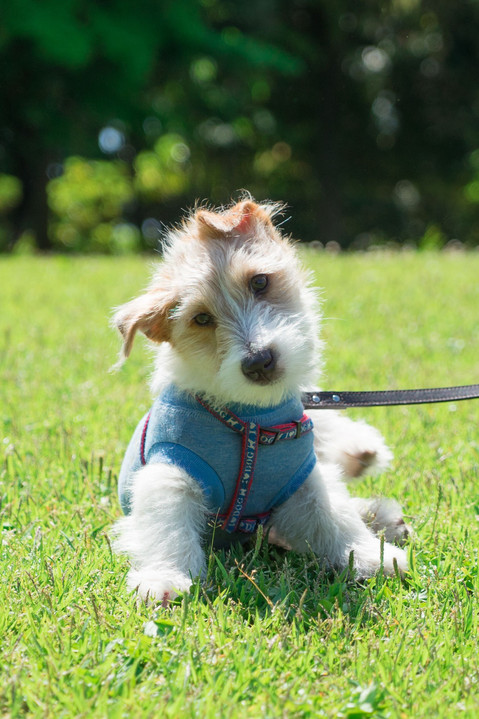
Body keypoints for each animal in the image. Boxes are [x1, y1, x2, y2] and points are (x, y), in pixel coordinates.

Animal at [112, 197, 408, 600]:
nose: (259, 361)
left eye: (260, 282)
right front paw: (166, 578)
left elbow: (332, 514)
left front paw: (368, 556)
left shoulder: (303, 477)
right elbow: (167, 526)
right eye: (201, 319)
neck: (252, 419)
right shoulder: (170, 472)